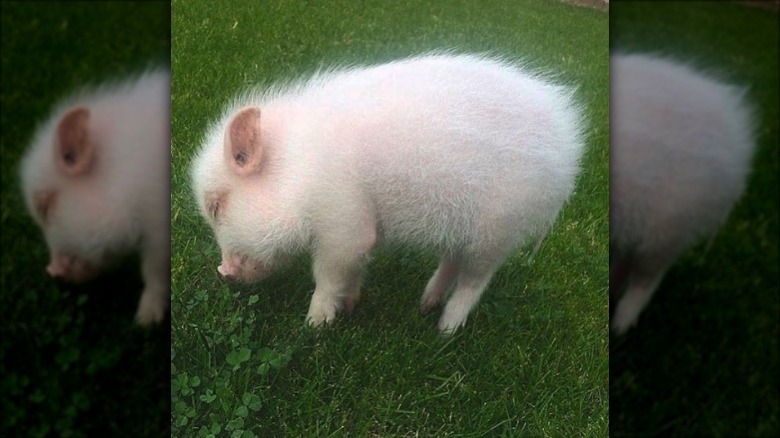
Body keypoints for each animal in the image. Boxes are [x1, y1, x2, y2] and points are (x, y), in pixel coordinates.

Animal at [191, 53, 585, 333]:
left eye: (216, 206)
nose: (222, 271)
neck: (297, 171)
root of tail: (568, 141)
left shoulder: (343, 222)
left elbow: (329, 274)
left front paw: (315, 325)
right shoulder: (362, 228)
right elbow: (355, 270)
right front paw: (349, 307)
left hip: (498, 229)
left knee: (475, 280)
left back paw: (445, 330)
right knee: (452, 260)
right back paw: (425, 306)